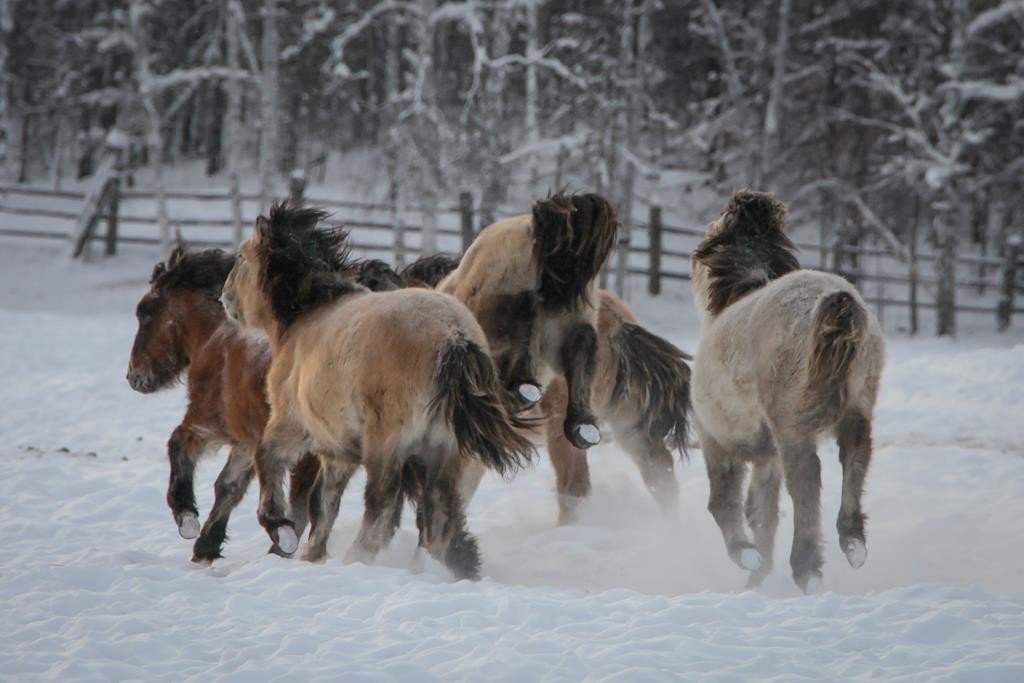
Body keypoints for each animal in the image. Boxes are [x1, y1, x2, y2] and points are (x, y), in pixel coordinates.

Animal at [127, 245, 319, 561]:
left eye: (144, 312)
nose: (134, 377)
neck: (215, 337)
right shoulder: (245, 441)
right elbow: (228, 486)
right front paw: (207, 545)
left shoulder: (204, 424)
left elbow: (177, 445)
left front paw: (188, 518)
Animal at [220, 202, 532, 577]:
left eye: (240, 258)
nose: (223, 298)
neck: (305, 319)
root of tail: (453, 337)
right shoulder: (336, 452)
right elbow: (323, 504)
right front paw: (312, 553)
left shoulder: (292, 425)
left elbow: (267, 458)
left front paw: (281, 529)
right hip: (443, 451)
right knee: (440, 518)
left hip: (388, 448)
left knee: (382, 511)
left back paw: (356, 559)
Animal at [692, 191, 884, 593]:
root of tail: (837, 307)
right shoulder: (767, 459)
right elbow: (762, 514)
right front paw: (757, 576)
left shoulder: (715, 437)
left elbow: (724, 502)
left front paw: (746, 557)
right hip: (856, 412)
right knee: (855, 458)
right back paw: (852, 543)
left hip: (792, 428)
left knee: (807, 484)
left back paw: (807, 568)